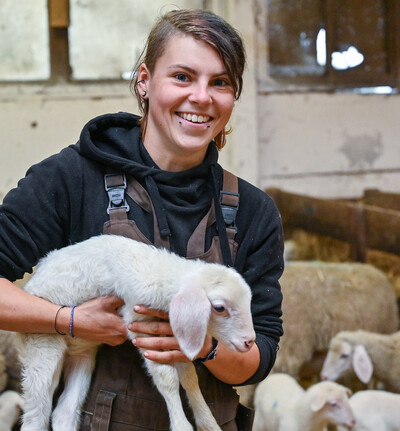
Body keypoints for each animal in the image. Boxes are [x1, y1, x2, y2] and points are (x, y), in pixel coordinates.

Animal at [17, 235, 255, 431]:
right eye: (219, 308)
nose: (250, 342)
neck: (160, 274)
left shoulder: (175, 335)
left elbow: (189, 377)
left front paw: (208, 423)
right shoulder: (138, 325)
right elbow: (167, 379)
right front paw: (181, 425)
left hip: (82, 357)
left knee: (63, 414)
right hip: (41, 346)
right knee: (35, 417)